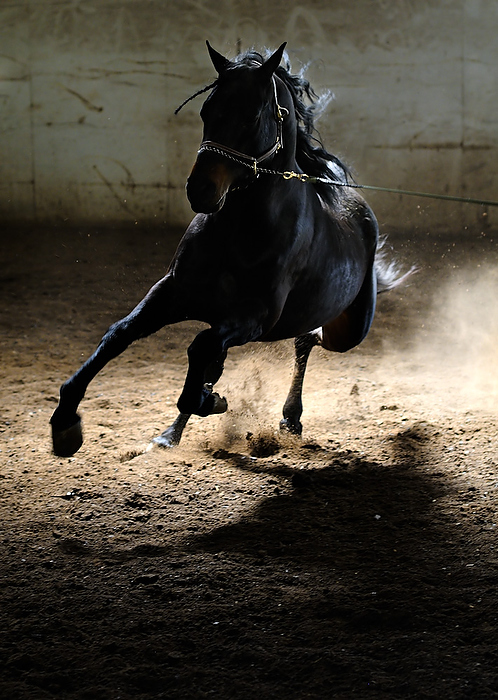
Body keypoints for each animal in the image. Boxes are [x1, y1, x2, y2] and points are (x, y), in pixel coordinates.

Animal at [49, 45, 408, 460]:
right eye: (206, 110)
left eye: (251, 115)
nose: (199, 190)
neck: (239, 229)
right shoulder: (174, 293)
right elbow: (119, 334)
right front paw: (65, 422)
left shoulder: (255, 317)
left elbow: (199, 354)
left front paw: (213, 401)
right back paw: (173, 434)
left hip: (349, 329)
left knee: (305, 340)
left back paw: (289, 419)